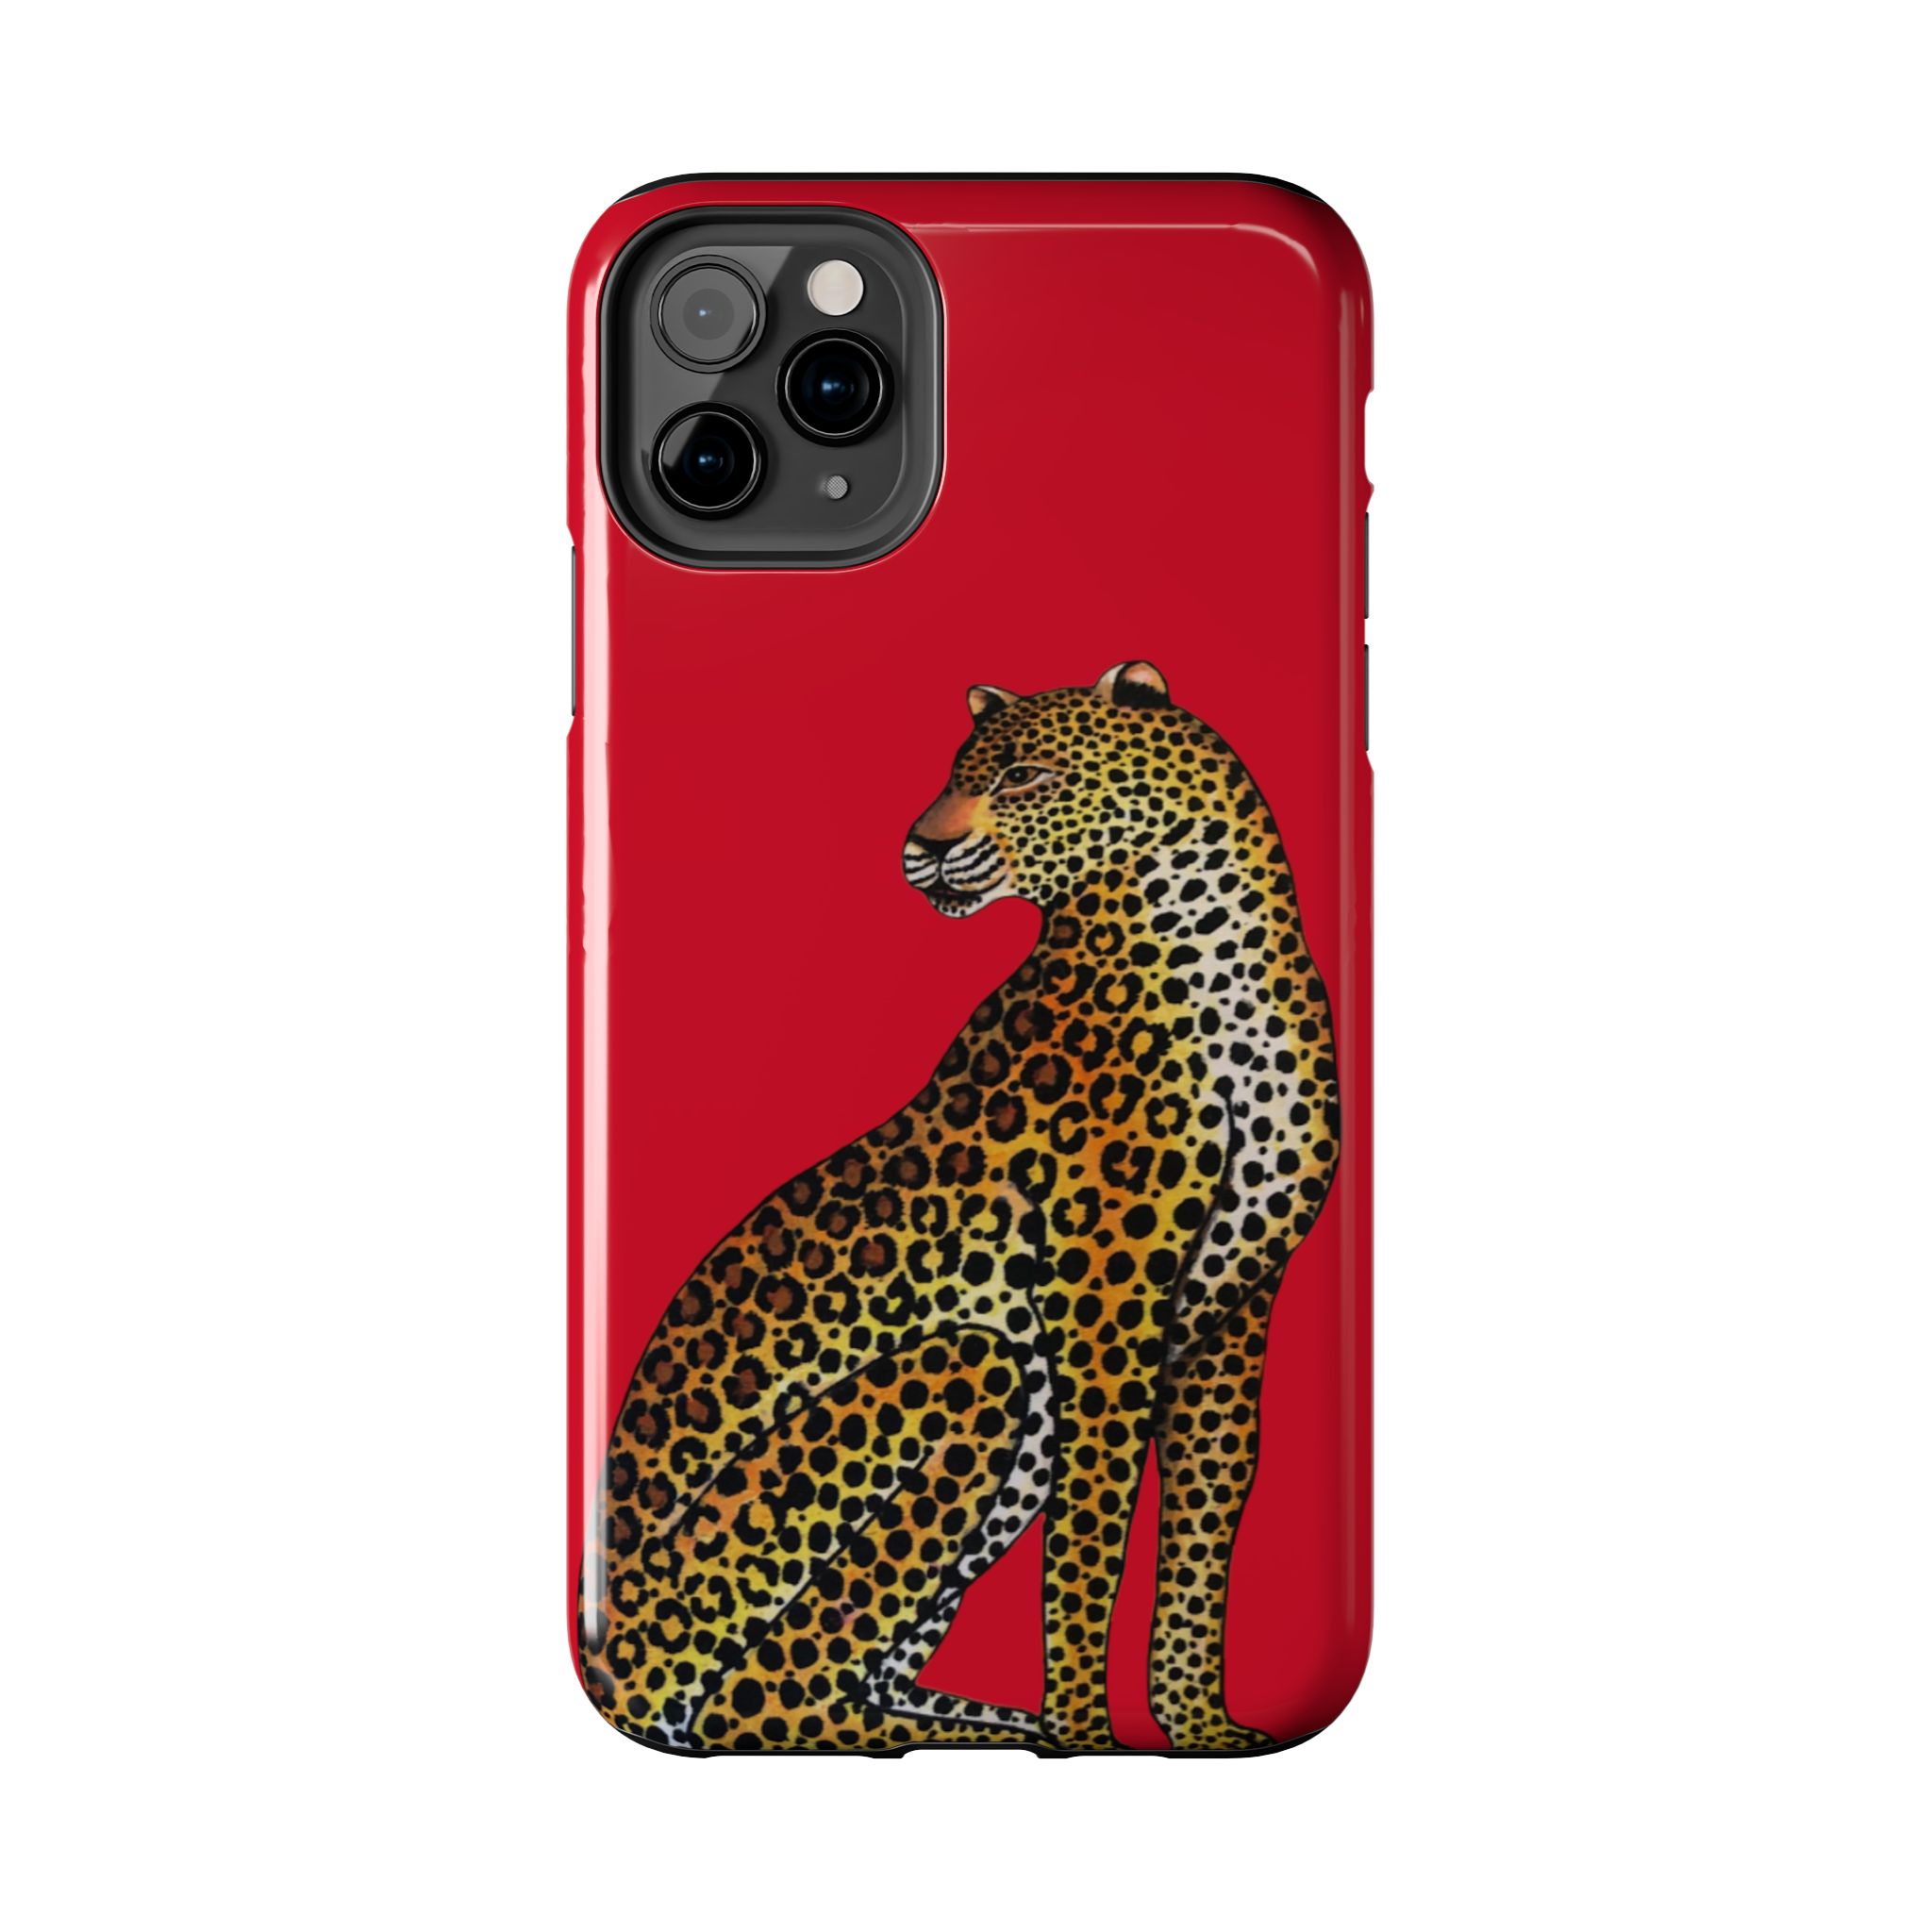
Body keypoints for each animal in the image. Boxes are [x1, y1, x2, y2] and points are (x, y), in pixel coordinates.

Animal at [578, 659, 1340, 1754]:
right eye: (956, 774)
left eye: (1023, 775)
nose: (922, 845)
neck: (1218, 944)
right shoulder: (1105, 1311)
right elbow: (1091, 1533)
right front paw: (1088, 1736)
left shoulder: (1232, 1315)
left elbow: (1204, 1520)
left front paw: (1201, 1728)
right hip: (972, 1371)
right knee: (770, 1690)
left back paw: (990, 1721)